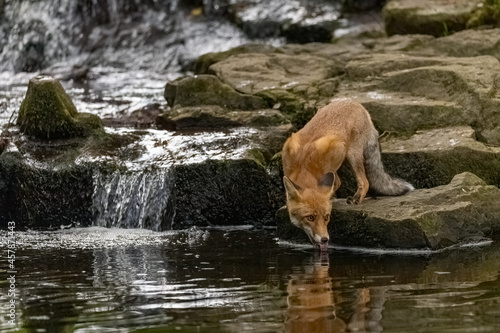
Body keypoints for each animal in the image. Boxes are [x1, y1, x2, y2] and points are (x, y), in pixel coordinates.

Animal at [282, 98, 414, 249]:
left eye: (327, 217)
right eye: (310, 218)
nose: (325, 239)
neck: (304, 168)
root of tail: (357, 104)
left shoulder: (337, 151)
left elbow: (337, 184)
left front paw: (332, 198)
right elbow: (335, 184)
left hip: (353, 155)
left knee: (365, 182)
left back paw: (357, 198)